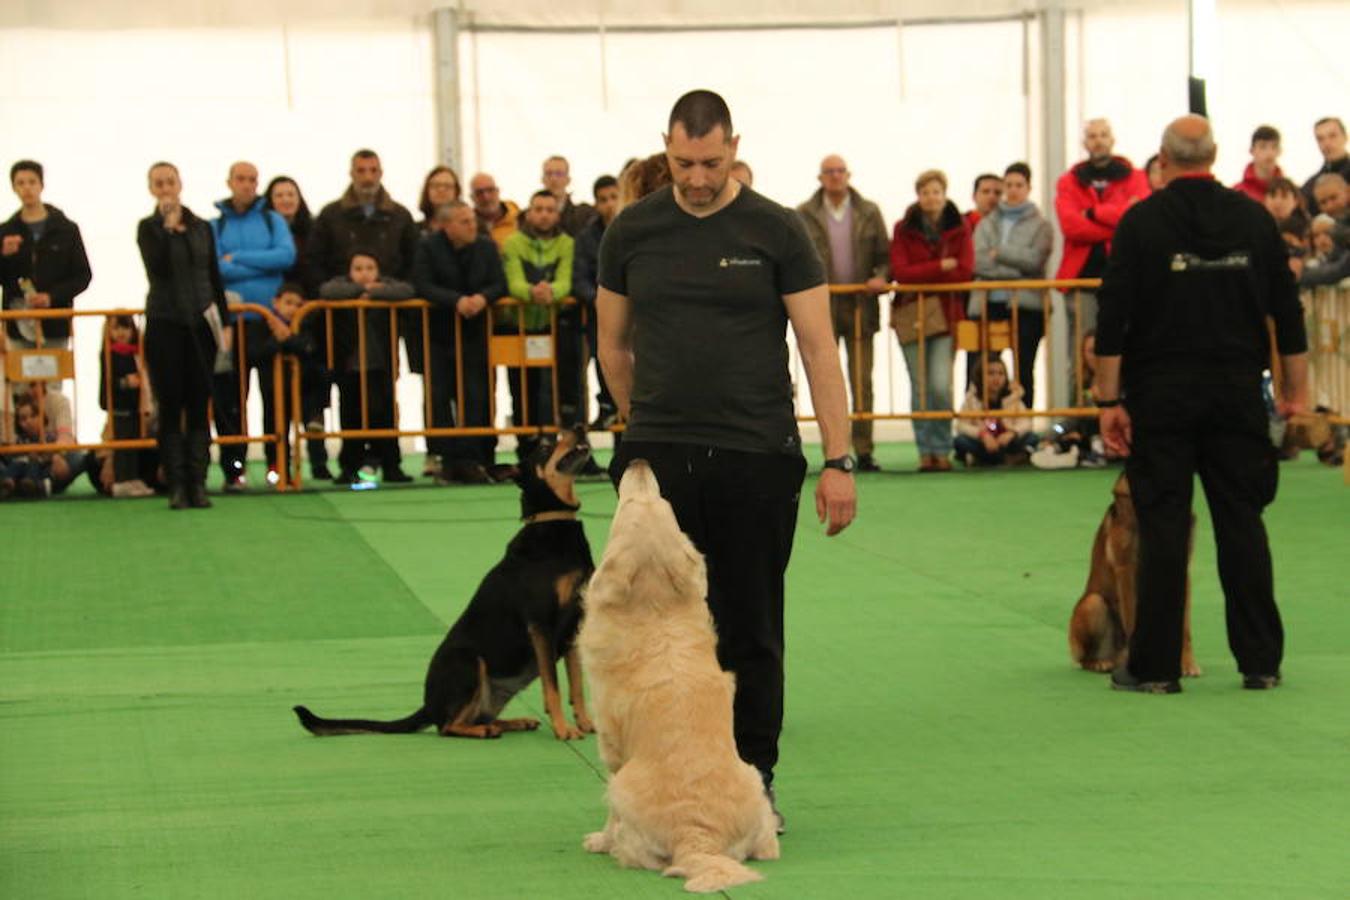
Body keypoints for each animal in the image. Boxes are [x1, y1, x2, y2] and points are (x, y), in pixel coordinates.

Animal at [298, 429, 599, 739]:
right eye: (545, 447)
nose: (579, 426)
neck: (553, 524)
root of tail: (428, 705)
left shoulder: (572, 625)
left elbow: (576, 684)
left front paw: (586, 723)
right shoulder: (541, 625)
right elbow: (553, 686)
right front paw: (564, 729)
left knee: (473, 716)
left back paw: (513, 722)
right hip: (469, 661)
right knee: (448, 726)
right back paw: (485, 730)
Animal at [575, 461, 777, 895]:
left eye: (631, 504)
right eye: (666, 505)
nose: (639, 464)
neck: (656, 609)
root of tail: (696, 835)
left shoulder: (609, 740)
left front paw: (598, 840)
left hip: (621, 788)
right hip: (753, 777)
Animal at [1063, 474, 1204, 680]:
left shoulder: (1181, 569)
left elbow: (1184, 628)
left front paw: (1186, 663)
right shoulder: (1127, 570)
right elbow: (1131, 619)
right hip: (1093, 603)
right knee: (1085, 659)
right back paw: (1101, 663)